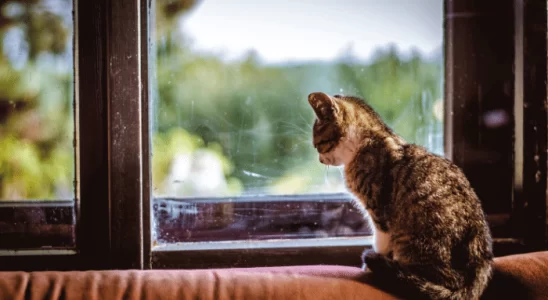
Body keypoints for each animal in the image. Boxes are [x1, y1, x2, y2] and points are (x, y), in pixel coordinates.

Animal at [308, 92, 492, 300]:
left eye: (318, 145)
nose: (320, 159)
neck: (368, 140)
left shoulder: (379, 209)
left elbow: (381, 240)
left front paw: (371, 265)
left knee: (448, 280)